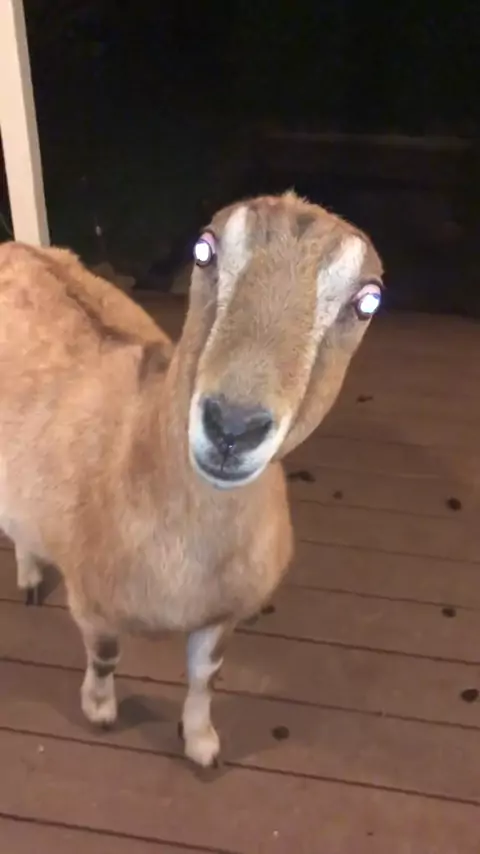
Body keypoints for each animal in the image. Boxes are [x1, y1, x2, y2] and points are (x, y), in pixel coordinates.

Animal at [0, 192, 383, 767]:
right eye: (203, 250)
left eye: (368, 301)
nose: (232, 427)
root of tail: (14, 246)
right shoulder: (92, 601)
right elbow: (105, 657)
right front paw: (100, 711)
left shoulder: (222, 614)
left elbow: (206, 676)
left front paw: (202, 743)